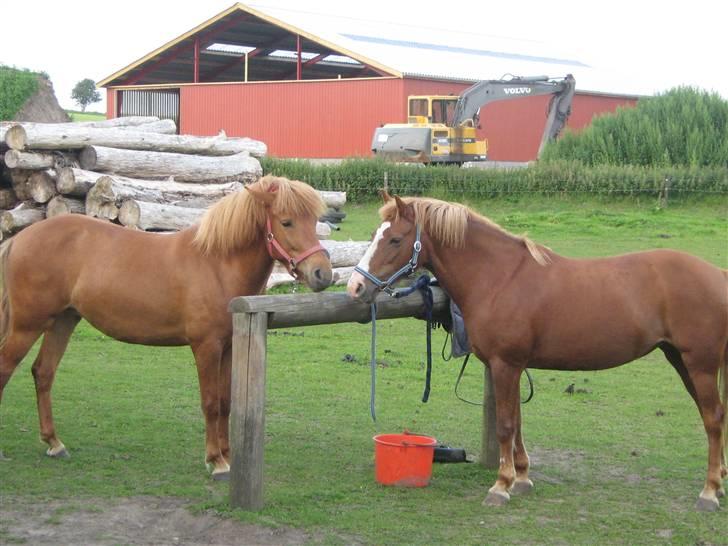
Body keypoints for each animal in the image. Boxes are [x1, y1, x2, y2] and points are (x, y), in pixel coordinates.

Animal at [0, 175, 332, 479]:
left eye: (314, 220)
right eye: (287, 222)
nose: (322, 274)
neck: (216, 264)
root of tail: (18, 239)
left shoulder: (228, 346)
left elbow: (225, 402)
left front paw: (227, 455)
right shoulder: (206, 347)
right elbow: (210, 403)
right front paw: (216, 461)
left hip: (63, 321)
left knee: (43, 373)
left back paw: (54, 443)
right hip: (27, 325)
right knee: (7, 369)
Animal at [347, 193, 727, 512]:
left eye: (395, 239)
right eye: (375, 234)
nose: (356, 286)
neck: (500, 277)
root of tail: (718, 274)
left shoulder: (505, 364)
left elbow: (505, 425)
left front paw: (501, 486)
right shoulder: (511, 366)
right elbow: (517, 422)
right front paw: (522, 478)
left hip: (700, 364)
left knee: (712, 418)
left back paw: (709, 492)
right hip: (680, 360)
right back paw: (719, 484)